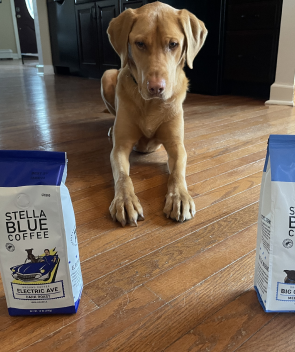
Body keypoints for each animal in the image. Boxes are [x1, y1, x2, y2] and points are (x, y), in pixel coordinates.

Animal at [102, 0, 208, 226]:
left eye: (173, 44)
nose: (156, 88)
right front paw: (125, 200)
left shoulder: (177, 146)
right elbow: (122, 175)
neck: (150, 105)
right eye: (140, 43)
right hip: (107, 75)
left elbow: (177, 173)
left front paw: (180, 197)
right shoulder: (120, 148)